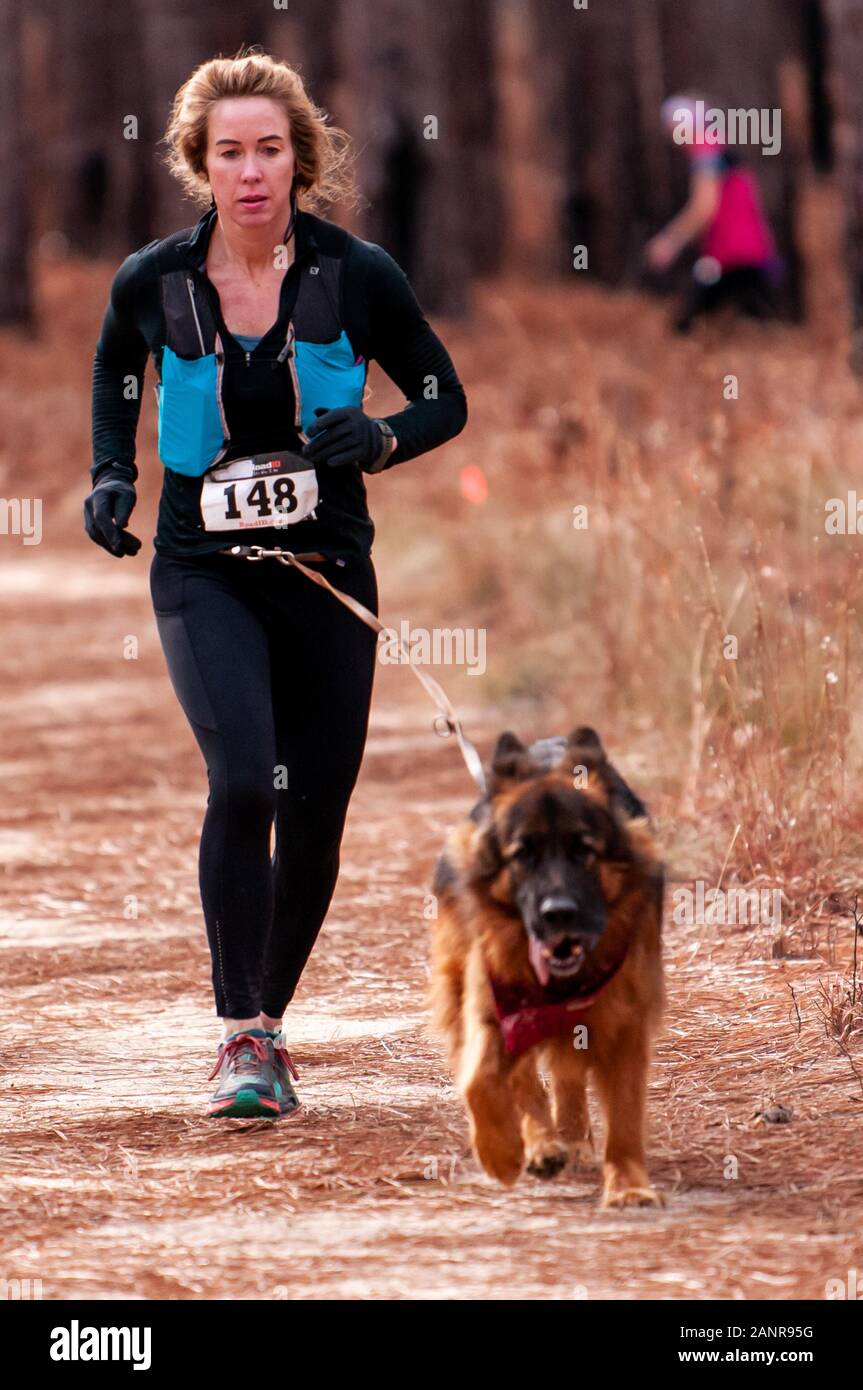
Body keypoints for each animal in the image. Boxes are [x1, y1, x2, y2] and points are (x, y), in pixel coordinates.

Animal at [428, 728, 664, 1206]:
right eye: (523, 854)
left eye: (584, 850)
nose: (559, 913)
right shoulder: (497, 1005)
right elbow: (481, 1081)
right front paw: (502, 1154)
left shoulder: (626, 1020)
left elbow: (625, 1115)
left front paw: (628, 1186)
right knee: (525, 1080)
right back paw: (542, 1145)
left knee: (567, 1075)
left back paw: (570, 1140)